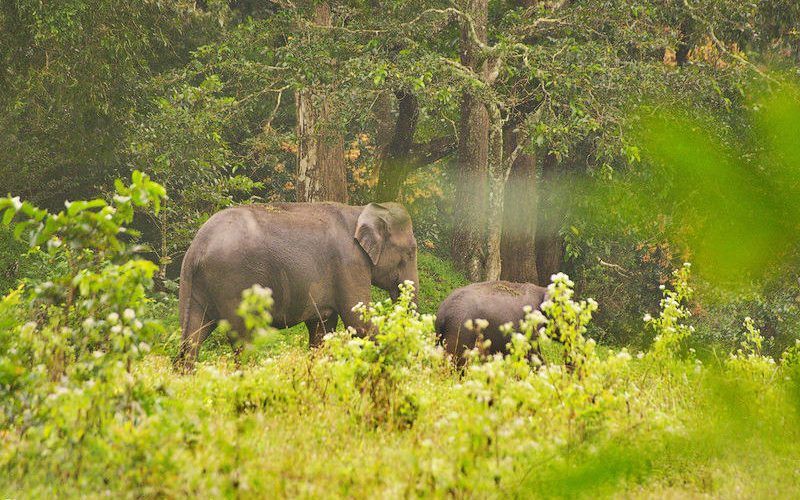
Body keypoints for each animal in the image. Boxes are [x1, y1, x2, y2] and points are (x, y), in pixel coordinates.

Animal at [175, 201, 419, 370]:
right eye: (410, 252)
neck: (359, 211)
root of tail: (198, 247)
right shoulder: (349, 263)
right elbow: (359, 321)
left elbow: (321, 329)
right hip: (233, 281)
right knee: (243, 339)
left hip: (192, 284)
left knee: (192, 336)